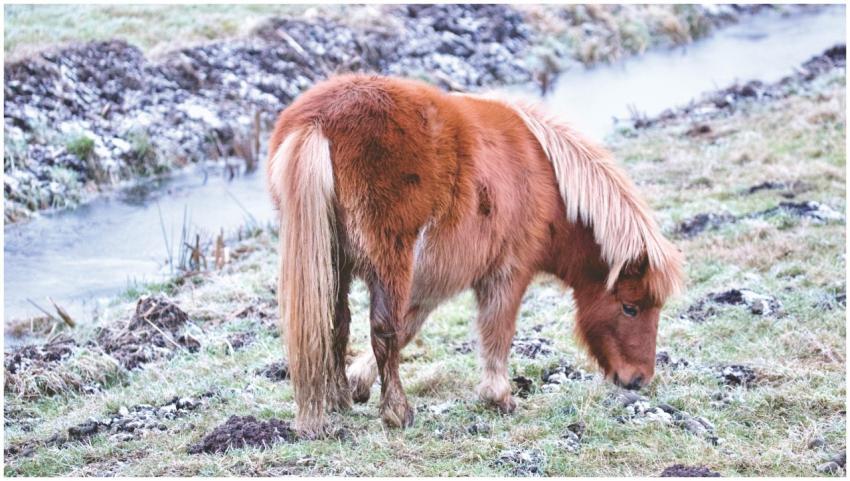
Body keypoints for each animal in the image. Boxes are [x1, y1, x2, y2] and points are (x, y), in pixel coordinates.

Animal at [266, 74, 684, 437]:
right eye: (630, 307)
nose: (638, 379)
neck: (548, 181)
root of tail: (319, 122)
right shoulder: (507, 273)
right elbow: (495, 329)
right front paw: (499, 397)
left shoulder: (432, 280)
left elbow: (410, 325)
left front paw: (358, 383)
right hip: (389, 262)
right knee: (381, 330)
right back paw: (398, 413)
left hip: (333, 264)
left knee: (335, 324)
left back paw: (338, 399)